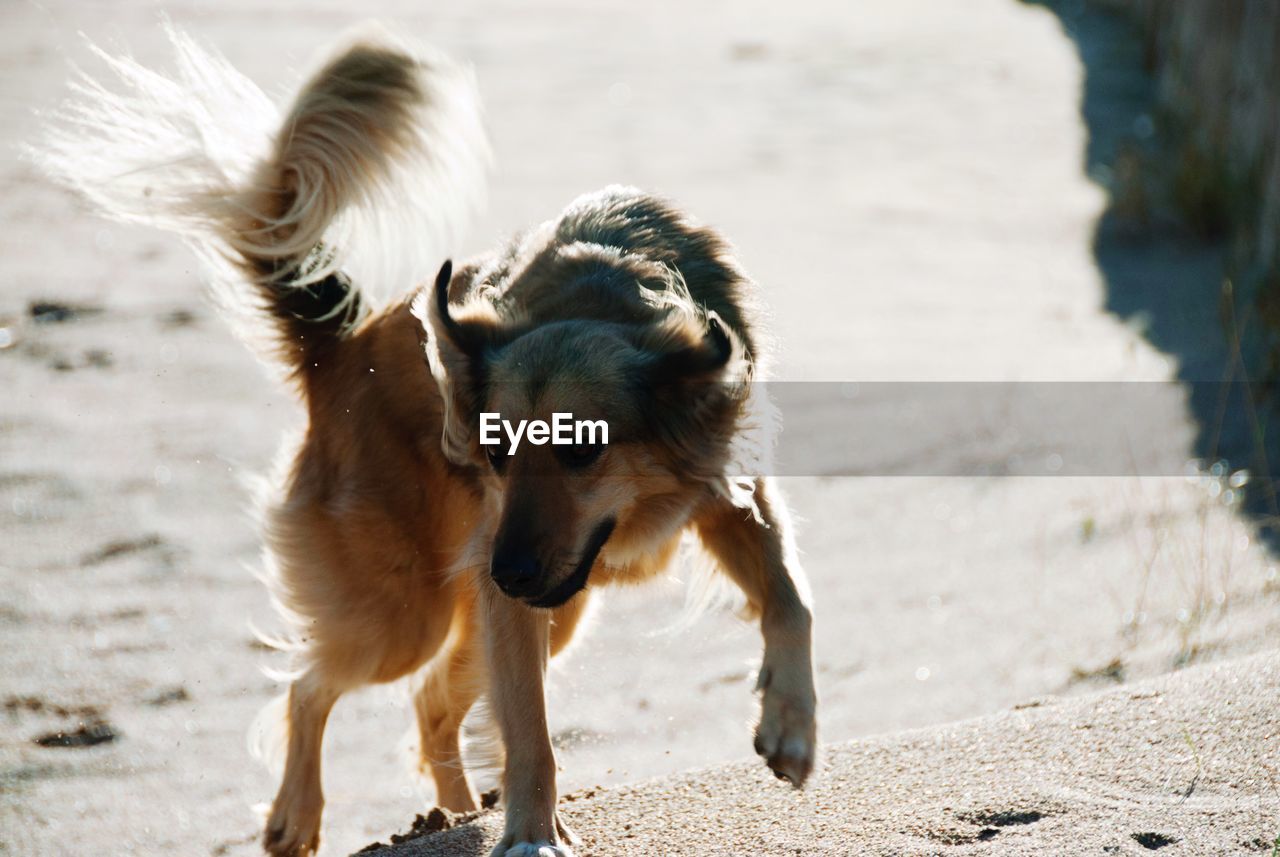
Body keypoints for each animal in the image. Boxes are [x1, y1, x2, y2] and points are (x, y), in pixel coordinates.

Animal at [42, 26, 819, 857]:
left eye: (582, 448)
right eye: (495, 452)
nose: (508, 571)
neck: (604, 288)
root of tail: (338, 351)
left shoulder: (729, 493)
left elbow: (792, 598)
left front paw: (790, 726)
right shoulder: (509, 583)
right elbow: (530, 730)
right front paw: (531, 834)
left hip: (535, 602)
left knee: (430, 701)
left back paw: (454, 815)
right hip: (406, 609)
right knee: (316, 682)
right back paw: (301, 815)